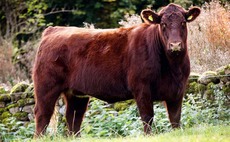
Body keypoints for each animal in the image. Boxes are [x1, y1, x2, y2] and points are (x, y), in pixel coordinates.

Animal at [32, 3, 199, 136]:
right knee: (43, 114)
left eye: (183, 22)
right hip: (46, 87)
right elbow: (147, 117)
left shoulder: (178, 90)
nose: (175, 45)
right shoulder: (142, 88)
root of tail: (53, 30)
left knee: (73, 117)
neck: (173, 68)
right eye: (163, 24)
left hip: (77, 93)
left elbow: (175, 118)